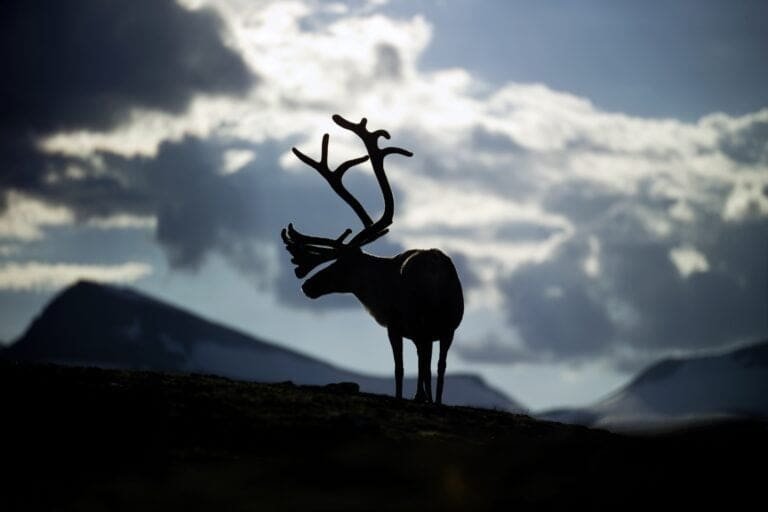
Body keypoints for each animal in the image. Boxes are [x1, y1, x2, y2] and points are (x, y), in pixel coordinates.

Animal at [281, 114, 464, 405]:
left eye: (341, 264)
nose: (307, 285)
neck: (375, 291)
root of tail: (435, 271)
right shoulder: (423, 333)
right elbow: (424, 367)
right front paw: (422, 397)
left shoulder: (394, 325)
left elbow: (400, 367)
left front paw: (407, 397)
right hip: (447, 326)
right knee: (439, 365)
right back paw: (435, 401)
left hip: (420, 321)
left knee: (420, 364)